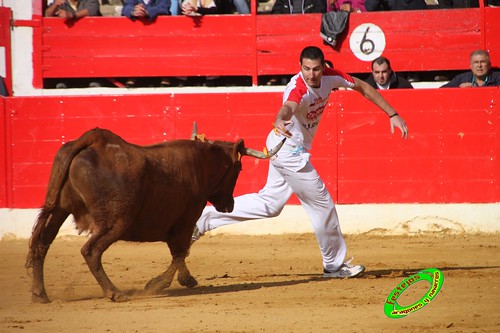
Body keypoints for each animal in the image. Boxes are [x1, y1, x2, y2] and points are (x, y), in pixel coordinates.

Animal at [27, 126, 284, 302]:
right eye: (239, 168)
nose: (229, 205)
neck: (201, 162)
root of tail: (95, 140)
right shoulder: (186, 220)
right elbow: (180, 253)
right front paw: (162, 283)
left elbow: (180, 254)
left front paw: (183, 280)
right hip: (115, 221)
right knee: (91, 251)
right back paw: (114, 293)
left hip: (58, 210)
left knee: (42, 244)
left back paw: (40, 294)